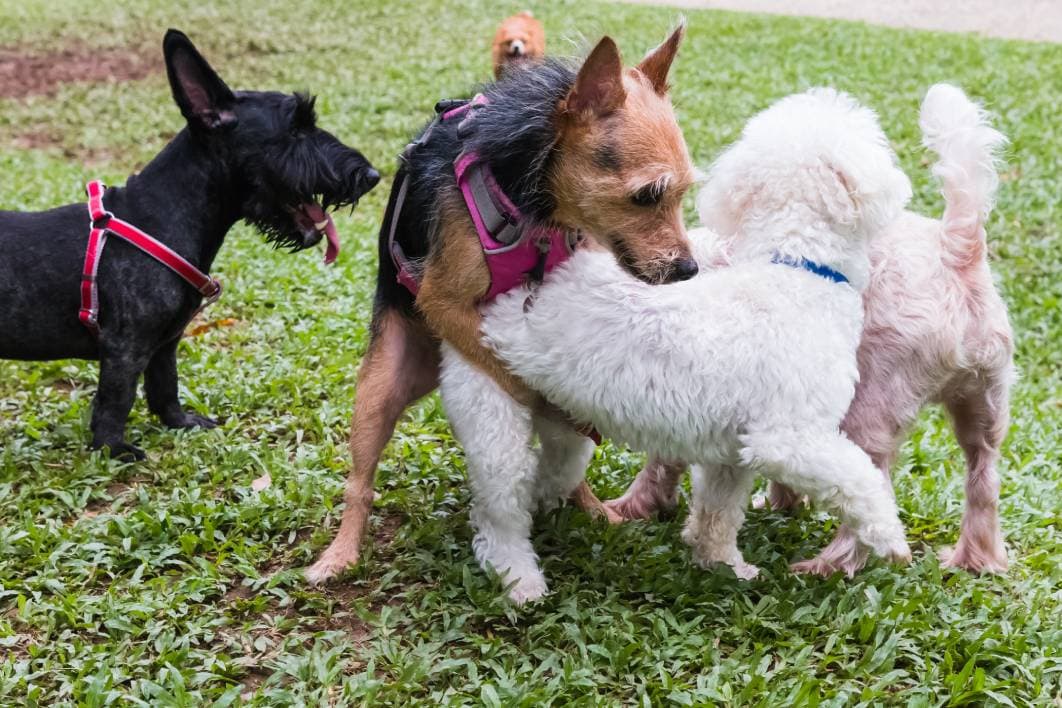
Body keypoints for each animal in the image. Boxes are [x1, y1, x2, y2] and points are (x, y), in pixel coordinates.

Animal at [0, 29, 380, 460]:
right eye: (296, 128)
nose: (372, 175)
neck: (162, 213)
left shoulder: (165, 344)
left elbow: (165, 385)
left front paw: (179, 423)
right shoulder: (125, 347)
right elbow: (116, 399)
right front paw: (112, 448)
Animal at [439, 88, 913, 602]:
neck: (794, 267)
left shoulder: (732, 451)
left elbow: (718, 511)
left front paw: (721, 562)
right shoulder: (788, 440)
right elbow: (859, 479)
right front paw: (890, 537)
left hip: (564, 425)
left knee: (553, 472)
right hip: (490, 401)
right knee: (499, 512)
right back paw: (518, 575)